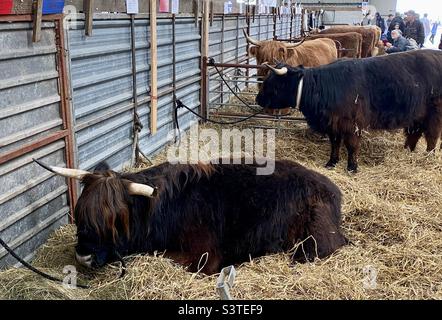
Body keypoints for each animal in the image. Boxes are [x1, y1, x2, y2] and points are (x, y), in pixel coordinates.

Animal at [33, 159, 346, 274]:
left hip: (313, 244)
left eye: (114, 222)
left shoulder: (203, 256)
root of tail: (330, 188)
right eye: (80, 214)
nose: (83, 255)